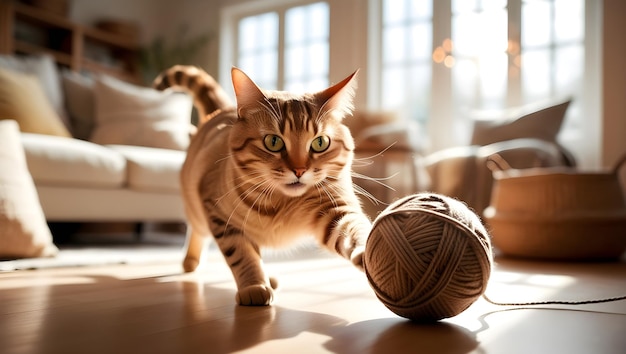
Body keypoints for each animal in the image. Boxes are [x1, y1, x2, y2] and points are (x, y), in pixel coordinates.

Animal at [153, 68, 370, 306]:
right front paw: (254, 285)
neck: (282, 203)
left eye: (320, 143)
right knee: (197, 230)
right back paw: (192, 261)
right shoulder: (221, 217)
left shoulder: (336, 210)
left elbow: (356, 230)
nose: (299, 170)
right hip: (197, 211)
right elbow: (242, 254)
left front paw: (367, 251)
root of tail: (221, 111)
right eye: (273, 142)